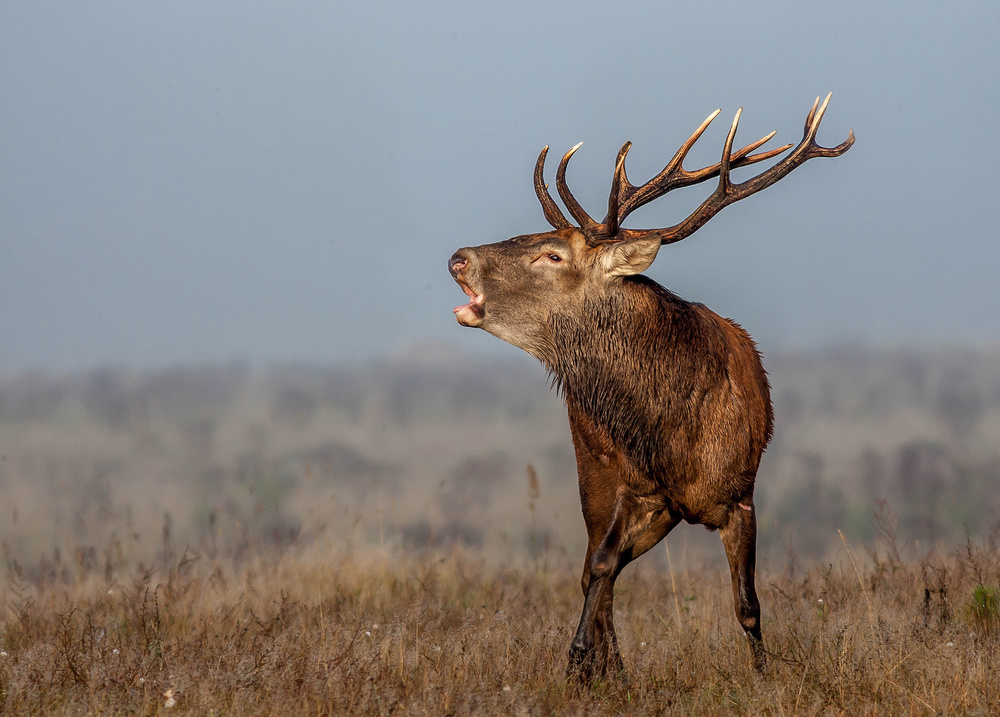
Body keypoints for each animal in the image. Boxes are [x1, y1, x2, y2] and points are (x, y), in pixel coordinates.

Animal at [448, 94, 853, 682]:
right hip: (594, 475)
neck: (672, 436)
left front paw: (764, 674)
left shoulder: (740, 495)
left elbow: (748, 605)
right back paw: (608, 665)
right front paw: (578, 660)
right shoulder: (629, 487)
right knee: (594, 569)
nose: (458, 258)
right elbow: (600, 568)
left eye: (552, 255)